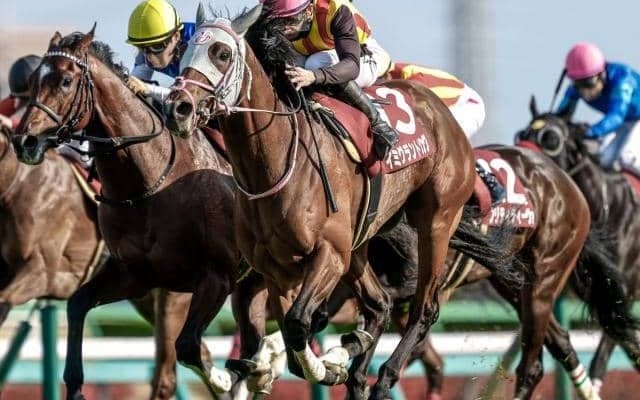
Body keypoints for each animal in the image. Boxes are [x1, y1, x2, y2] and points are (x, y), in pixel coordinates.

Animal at [10, 27, 244, 400]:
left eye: (65, 81)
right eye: (33, 81)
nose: (25, 142)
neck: (149, 183)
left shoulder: (212, 277)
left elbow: (188, 348)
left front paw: (231, 378)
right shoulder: (135, 275)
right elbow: (77, 304)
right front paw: (75, 387)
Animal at [164, 4, 519, 399]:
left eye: (222, 53)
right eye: (184, 52)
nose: (178, 108)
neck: (274, 167)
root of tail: (440, 110)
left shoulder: (329, 254)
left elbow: (298, 323)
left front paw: (323, 365)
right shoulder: (276, 269)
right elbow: (293, 337)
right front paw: (321, 362)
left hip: (435, 223)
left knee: (424, 307)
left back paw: (383, 375)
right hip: (361, 242)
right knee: (378, 305)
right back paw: (354, 364)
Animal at [515, 97, 640, 393]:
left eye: (550, 138)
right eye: (522, 134)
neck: (608, 206)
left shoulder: (626, 290)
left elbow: (604, 353)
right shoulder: (597, 291)